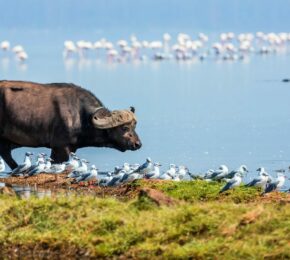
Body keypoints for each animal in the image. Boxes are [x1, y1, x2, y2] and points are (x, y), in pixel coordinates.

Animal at [0, 80, 142, 170]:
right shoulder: (60, 148)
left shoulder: (69, 148)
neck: (81, 115)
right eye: (124, 128)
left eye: (134, 127)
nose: (138, 144)